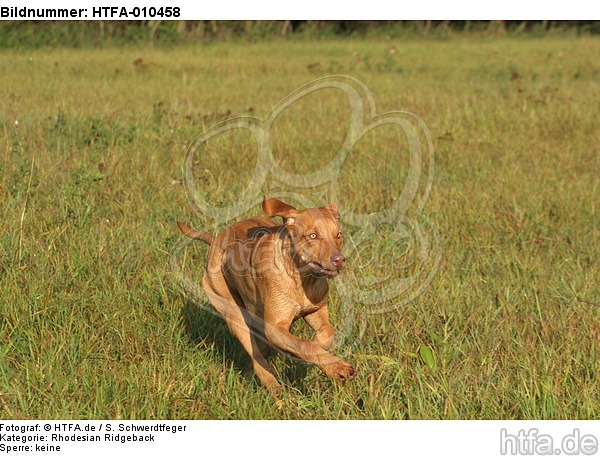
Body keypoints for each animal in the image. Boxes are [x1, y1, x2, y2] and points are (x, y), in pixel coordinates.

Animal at [178, 198, 356, 394]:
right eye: (313, 236)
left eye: (338, 234)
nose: (339, 260)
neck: (300, 278)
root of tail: (216, 239)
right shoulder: (273, 327)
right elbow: (303, 344)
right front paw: (337, 367)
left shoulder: (316, 310)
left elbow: (326, 333)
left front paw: (319, 348)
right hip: (232, 311)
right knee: (256, 356)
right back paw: (275, 388)